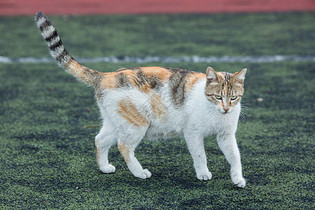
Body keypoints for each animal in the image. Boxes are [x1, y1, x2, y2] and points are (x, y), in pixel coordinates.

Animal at [34, 11, 247, 188]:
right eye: (218, 96)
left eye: (233, 98)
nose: (226, 109)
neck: (215, 113)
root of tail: (105, 75)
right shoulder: (193, 133)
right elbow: (200, 155)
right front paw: (203, 173)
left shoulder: (226, 135)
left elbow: (235, 157)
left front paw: (238, 179)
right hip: (137, 124)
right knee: (124, 146)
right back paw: (139, 172)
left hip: (116, 122)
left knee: (100, 140)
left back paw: (105, 168)